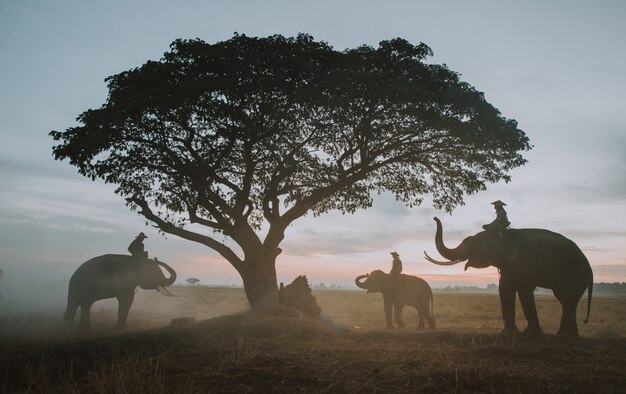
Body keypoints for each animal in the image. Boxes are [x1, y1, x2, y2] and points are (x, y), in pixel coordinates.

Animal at [422, 217, 592, 338]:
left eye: (474, 245)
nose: (434, 218)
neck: (503, 235)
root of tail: (590, 270)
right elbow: (505, 289)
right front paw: (509, 333)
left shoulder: (525, 262)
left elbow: (524, 289)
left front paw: (530, 334)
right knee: (566, 300)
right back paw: (568, 335)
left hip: (575, 274)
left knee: (567, 299)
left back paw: (564, 335)